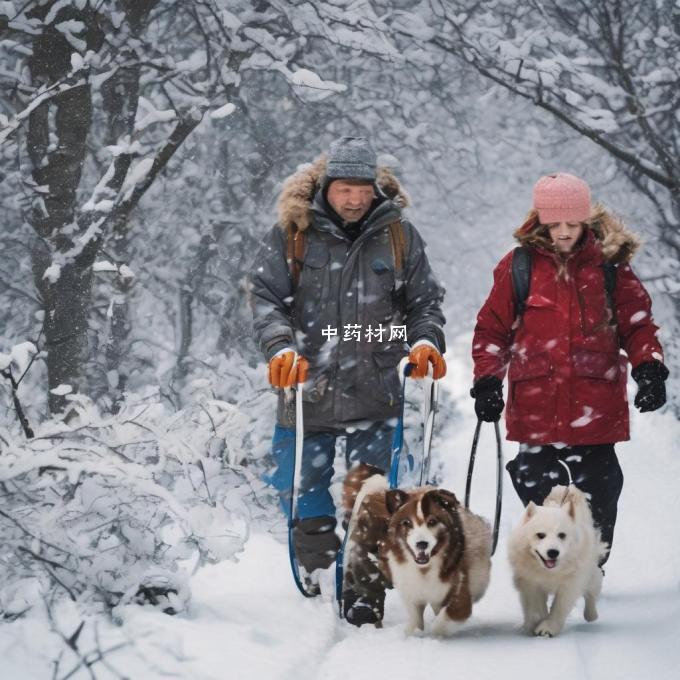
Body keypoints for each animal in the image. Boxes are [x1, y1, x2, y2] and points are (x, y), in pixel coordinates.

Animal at [342, 464, 492, 636]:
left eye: (432, 521)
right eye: (407, 523)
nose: (422, 544)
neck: (424, 569)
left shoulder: (459, 593)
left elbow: (447, 617)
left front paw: (434, 633)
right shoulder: (410, 590)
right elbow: (415, 619)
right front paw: (413, 633)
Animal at [510, 484, 604, 636]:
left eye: (562, 535)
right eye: (540, 535)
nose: (553, 552)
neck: (549, 572)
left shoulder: (570, 584)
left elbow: (559, 607)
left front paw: (548, 628)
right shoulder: (531, 584)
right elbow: (536, 607)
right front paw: (536, 623)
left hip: (589, 574)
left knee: (592, 591)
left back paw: (591, 615)